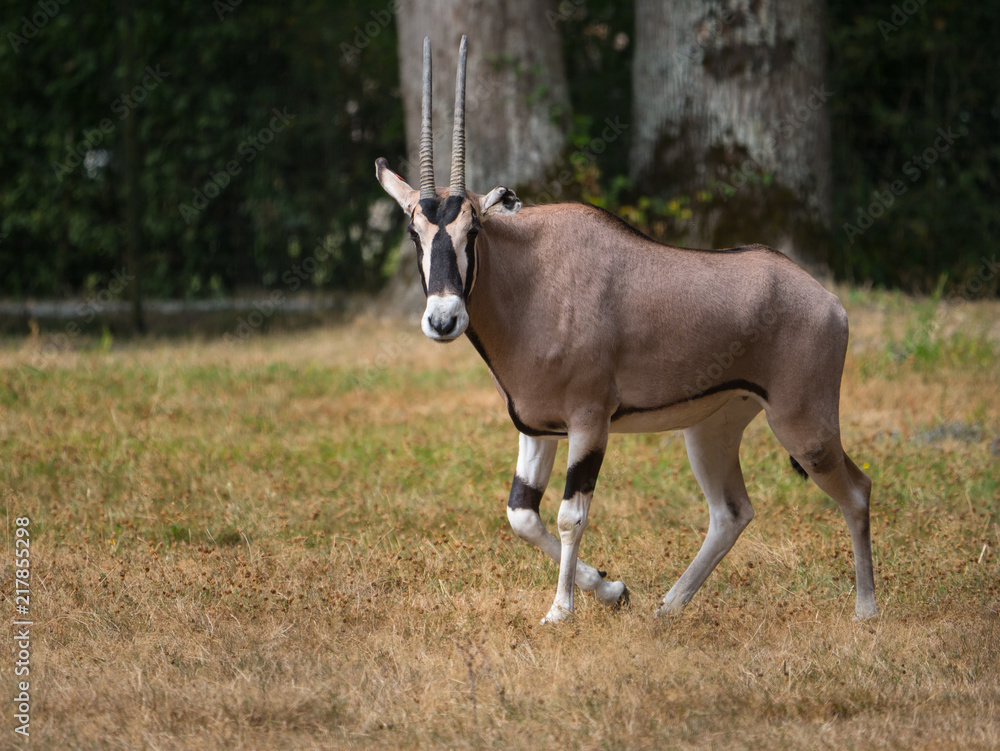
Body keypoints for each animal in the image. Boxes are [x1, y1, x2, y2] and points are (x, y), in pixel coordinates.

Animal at [375, 36, 877, 624]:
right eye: (415, 231)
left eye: (472, 229)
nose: (444, 318)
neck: (531, 279)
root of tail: (828, 301)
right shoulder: (538, 429)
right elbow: (521, 515)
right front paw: (612, 590)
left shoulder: (590, 423)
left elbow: (570, 516)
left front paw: (561, 611)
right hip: (712, 428)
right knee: (732, 511)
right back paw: (668, 607)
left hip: (806, 428)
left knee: (857, 491)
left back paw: (866, 609)